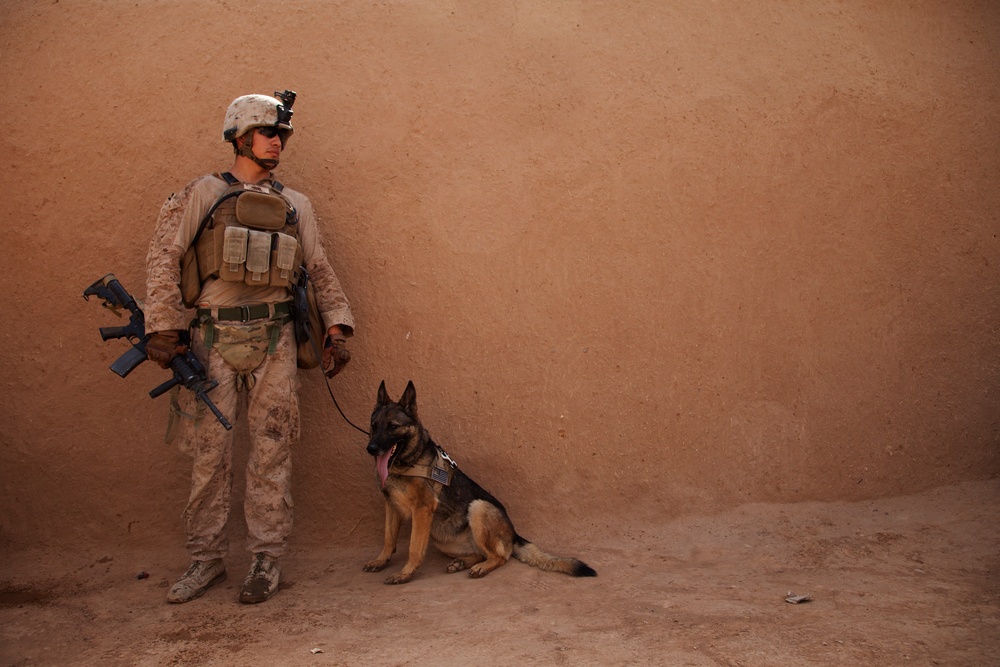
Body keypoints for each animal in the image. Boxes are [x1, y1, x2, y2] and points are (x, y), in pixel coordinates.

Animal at [364, 380, 596, 584]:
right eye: (374, 426)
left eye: (392, 427)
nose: (371, 449)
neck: (407, 462)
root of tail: (513, 535)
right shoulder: (391, 507)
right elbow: (388, 539)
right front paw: (380, 561)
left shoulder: (422, 509)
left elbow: (413, 547)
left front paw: (405, 574)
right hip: (442, 539)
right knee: (482, 553)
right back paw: (463, 563)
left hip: (478, 508)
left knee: (499, 557)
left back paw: (481, 568)